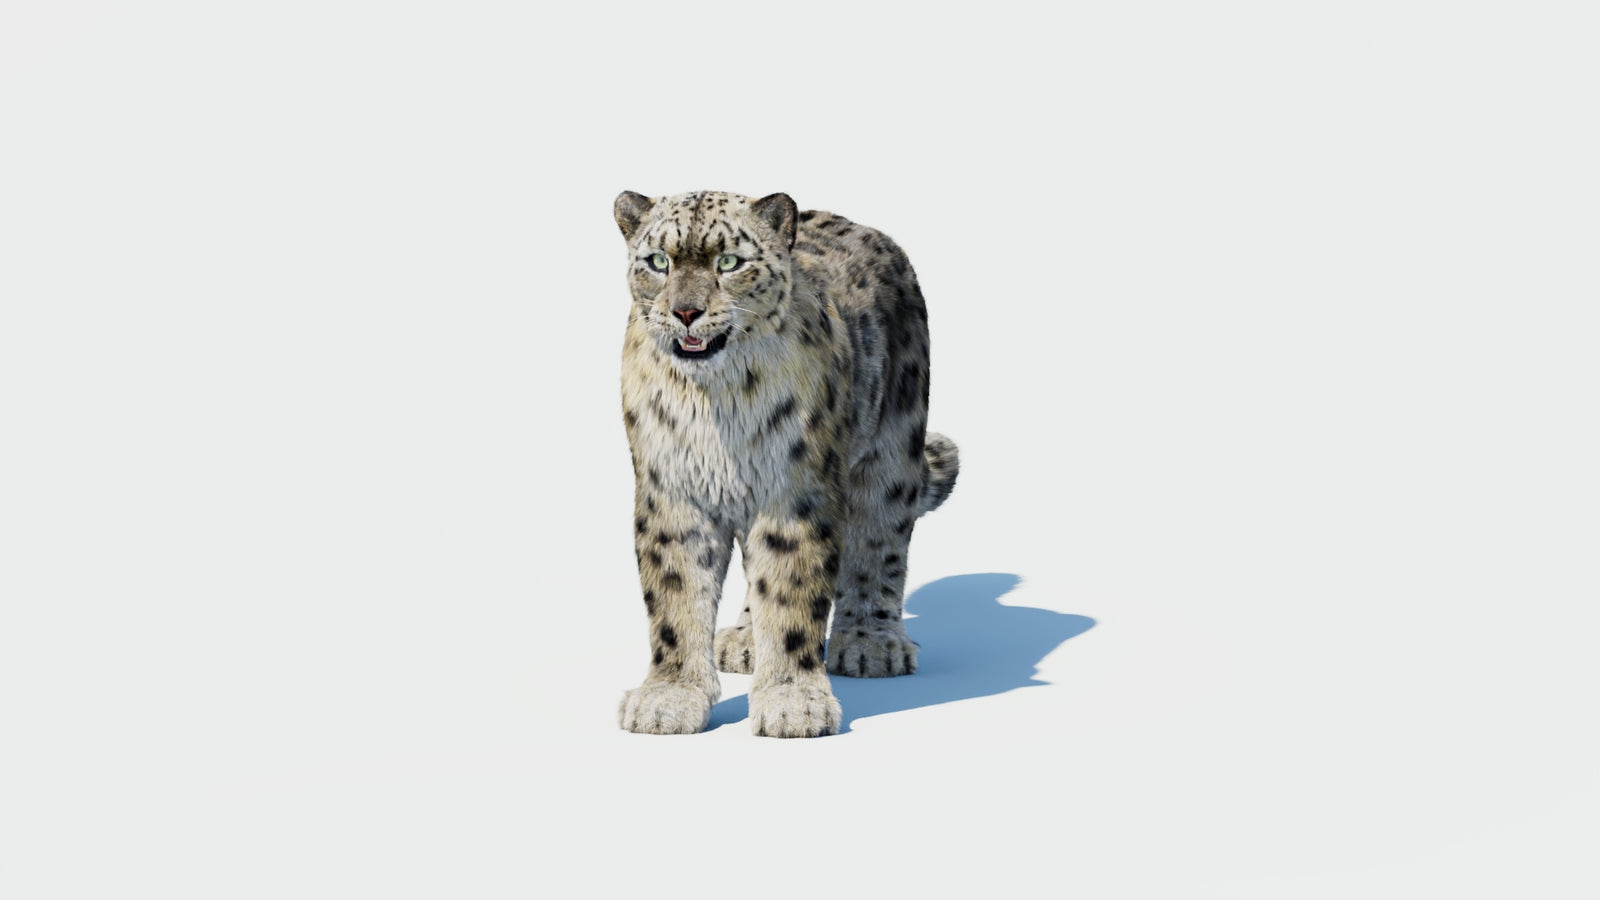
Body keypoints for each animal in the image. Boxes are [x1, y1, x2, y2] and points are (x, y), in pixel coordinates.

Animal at [613, 190, 959, 738]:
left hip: (893, 452)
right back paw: (745, 639)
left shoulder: (795, 489)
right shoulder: (673, 490)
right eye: (658, 262)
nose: (686, 311)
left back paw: (872, 644)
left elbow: (792, 589)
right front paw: (668, 698)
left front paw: (793, 703)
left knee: (880, 541)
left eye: (729, 262)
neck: (716, 404)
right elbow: (675, 596)